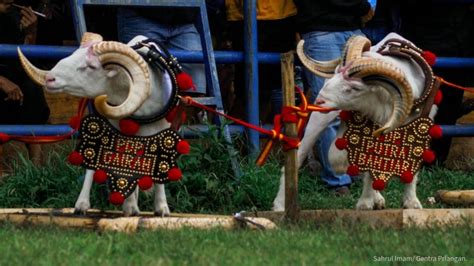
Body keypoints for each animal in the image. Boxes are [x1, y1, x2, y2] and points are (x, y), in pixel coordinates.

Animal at [16, 32, 177, 216]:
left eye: (91, 66)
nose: (50, 78)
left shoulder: (161, 132)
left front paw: (161, 209)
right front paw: (129, 208)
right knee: (92, 165)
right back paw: (82, 206)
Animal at [272, 32, 438, 210]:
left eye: (354, 88)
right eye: (336, 73)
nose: (320, 101)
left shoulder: (419, 130)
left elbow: (410, 167)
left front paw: (411, 203)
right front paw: (365, 204)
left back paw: (378, 198)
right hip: (320, 119)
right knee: (299, 154)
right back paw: (280, 205)